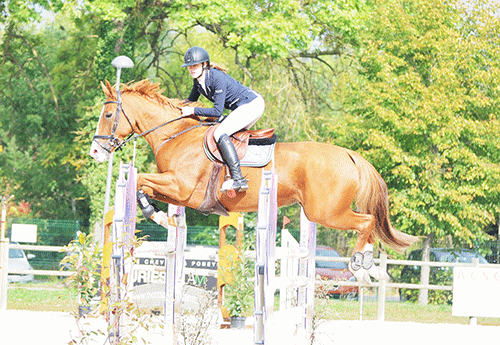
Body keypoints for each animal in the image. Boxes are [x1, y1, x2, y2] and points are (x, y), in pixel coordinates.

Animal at [89, 78, 418, 282]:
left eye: (108, 115)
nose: (95, 151)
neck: (176, 136)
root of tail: (348, 154)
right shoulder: (178, 193)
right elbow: (144, 185)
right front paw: (161, 217)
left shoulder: (182, 189)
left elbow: (141, 181)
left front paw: (155, 216)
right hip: (323, 212)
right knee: (369, 226)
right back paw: (372, 269)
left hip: (325, 212)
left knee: (366, 222)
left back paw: (361, 265)